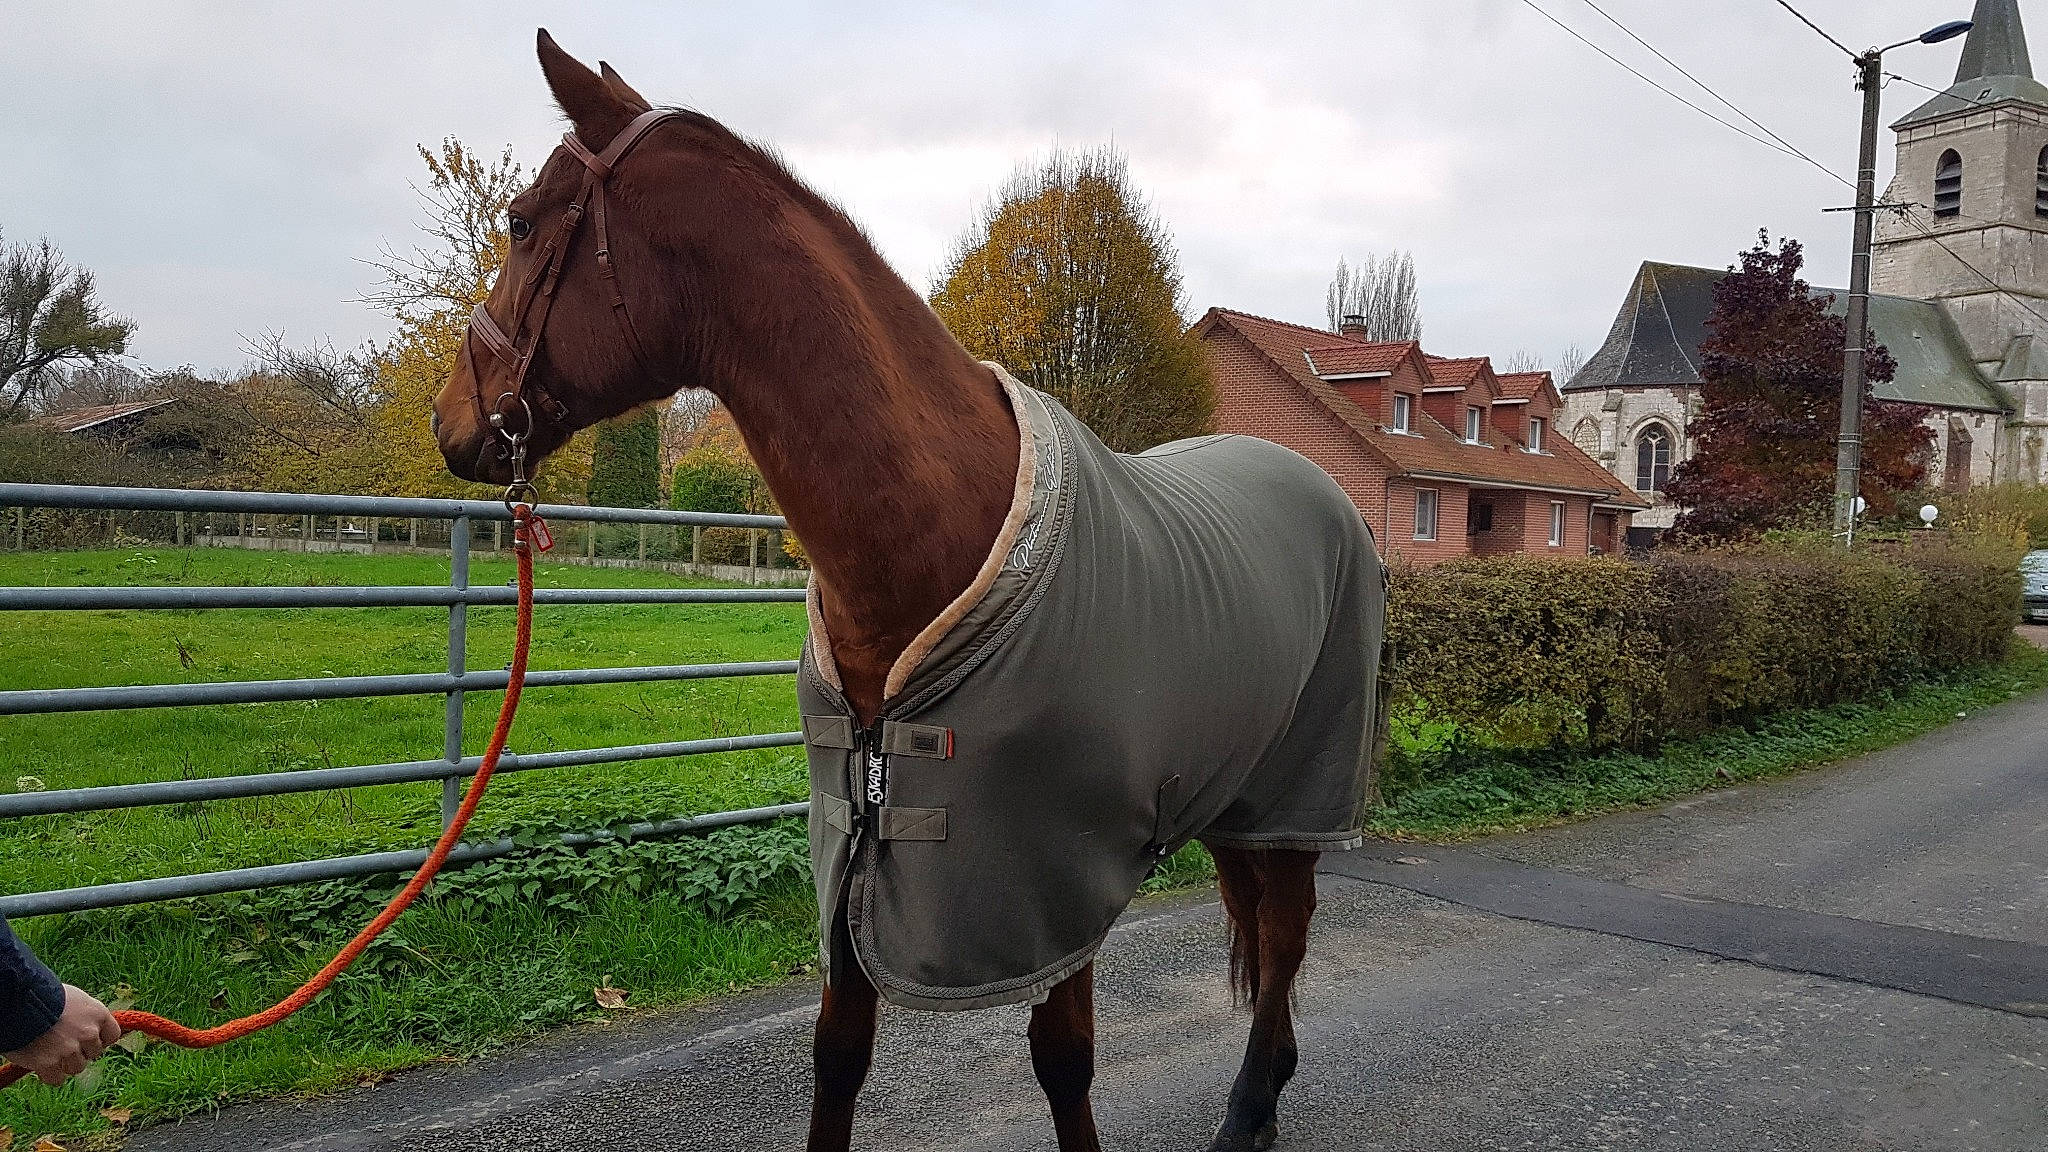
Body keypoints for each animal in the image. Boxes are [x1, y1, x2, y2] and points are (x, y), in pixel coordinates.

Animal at [431, 31, 1383, 1152]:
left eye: (521, 220)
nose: (449, 419)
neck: (932, 541)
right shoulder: (854, 851)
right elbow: (838, 1056)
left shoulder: (1051, 881)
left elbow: (1064, 1062)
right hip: (1240, 788)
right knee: (1265, 933)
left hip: (1297, 791)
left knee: (1284, 938)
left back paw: (1248, 1111)